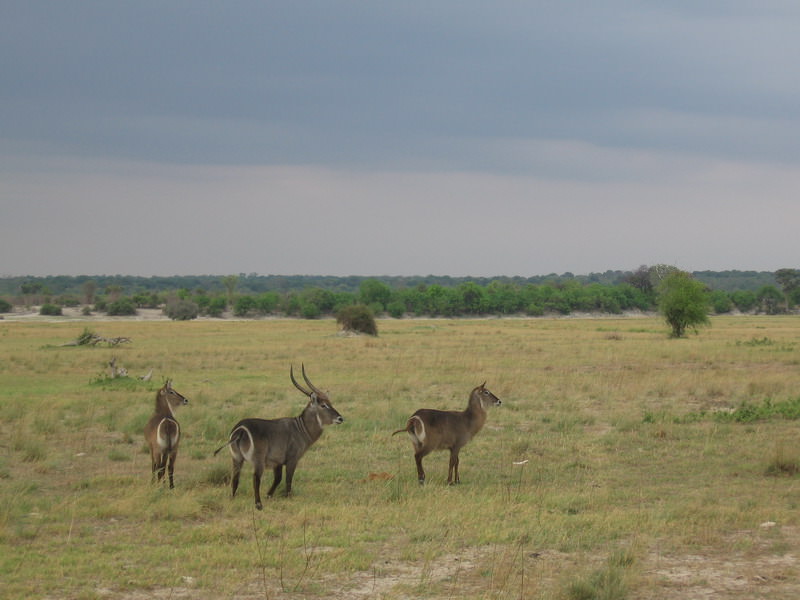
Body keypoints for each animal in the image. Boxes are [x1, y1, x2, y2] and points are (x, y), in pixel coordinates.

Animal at [216, 364, 344, 508]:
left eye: (330, 403)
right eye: (323, 405)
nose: (340, 418)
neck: (301, 427)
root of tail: (241, 430)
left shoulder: (277, 462)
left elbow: (278, 479)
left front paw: (269, 495)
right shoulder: (292, 459)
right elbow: (288, 479)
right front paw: (288, 497)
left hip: (236, 458)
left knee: (235, 478)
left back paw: (232, 499)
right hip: (258, 460)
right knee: (255, 478)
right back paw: (258, 504)